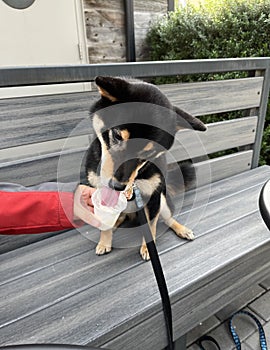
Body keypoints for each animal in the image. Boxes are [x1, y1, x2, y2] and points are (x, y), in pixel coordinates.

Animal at [85, 76, 206, 260]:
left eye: (149, 152)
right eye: (117, 136)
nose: (117, 186)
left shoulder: (154, 197)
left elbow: (151, 226)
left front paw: (148, 248)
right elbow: (105, 223)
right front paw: (105, 242)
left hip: (163, 201)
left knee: (168, 219)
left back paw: (182, 229)